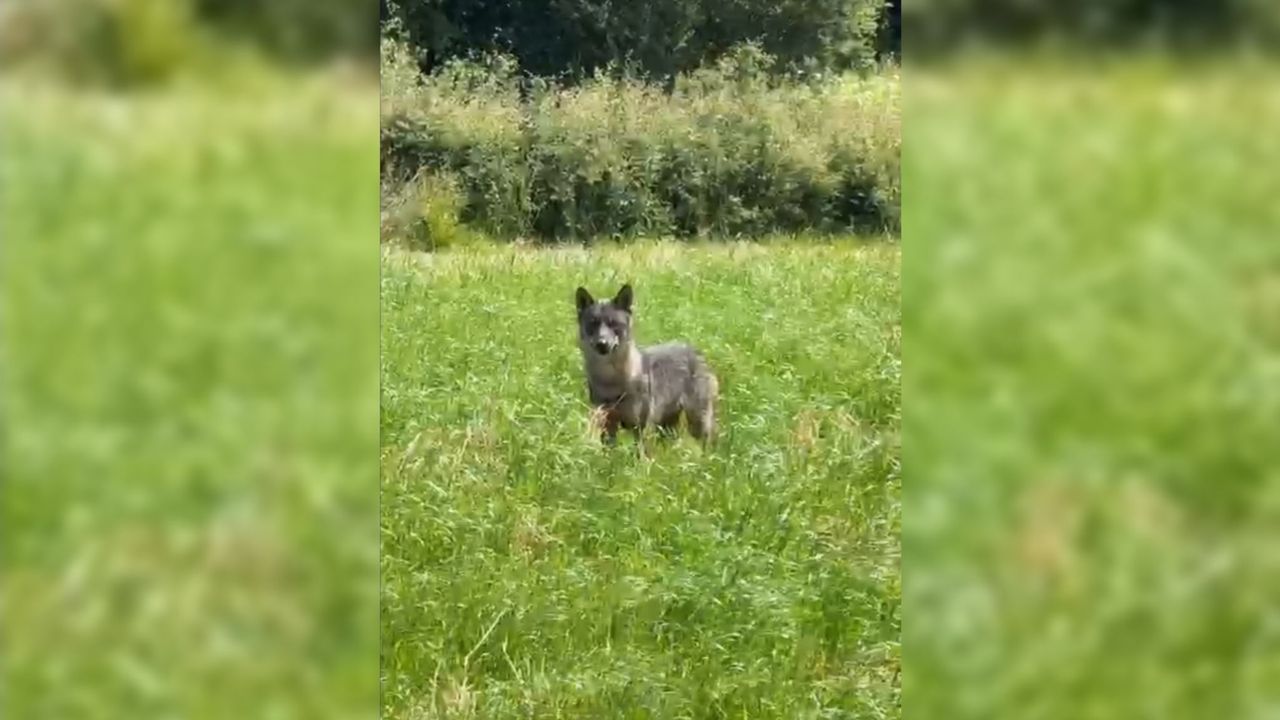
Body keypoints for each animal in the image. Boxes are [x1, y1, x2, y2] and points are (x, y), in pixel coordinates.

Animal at [575, 283, 719, 453]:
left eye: (613, 324)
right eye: (593, 323)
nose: (602, 344)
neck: (611, 381)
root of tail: (694, 349)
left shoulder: (639, 428)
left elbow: (639, 455)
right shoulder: (608, 425)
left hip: (697, 424)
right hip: (666, 427)